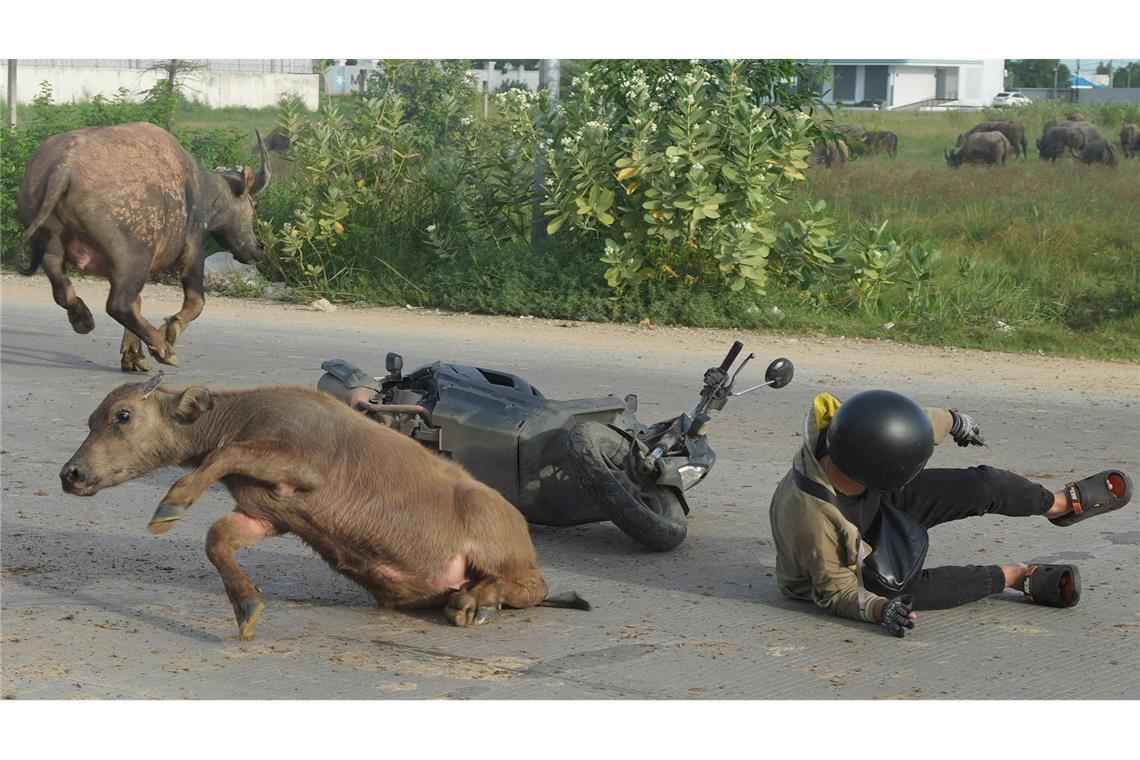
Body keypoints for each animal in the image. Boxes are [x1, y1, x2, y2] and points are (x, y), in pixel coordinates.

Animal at [17, 123, 271, 373]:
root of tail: (63, 168)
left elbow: (138, 302)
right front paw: (169, 331)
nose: (258, 250)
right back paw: (163, 348)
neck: (199, 187)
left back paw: (83, 318)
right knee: (118, 304)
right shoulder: (192, 251)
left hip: (52, 249)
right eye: (255, 204)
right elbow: (196, 302)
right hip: (133, 260)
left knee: (65, 292)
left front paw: (132, 355)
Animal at [57, 378, 583, 638]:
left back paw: (480, 603)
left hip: (500, 541)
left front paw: (171, 504)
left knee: (533, 587)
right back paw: (467, 599)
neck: (245, 416)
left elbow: (223, 453)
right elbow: (217, 539)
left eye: (123, 416)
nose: (71, 474)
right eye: (92, 420)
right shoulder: (267, 514)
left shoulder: (306, 467)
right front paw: (246, 606)